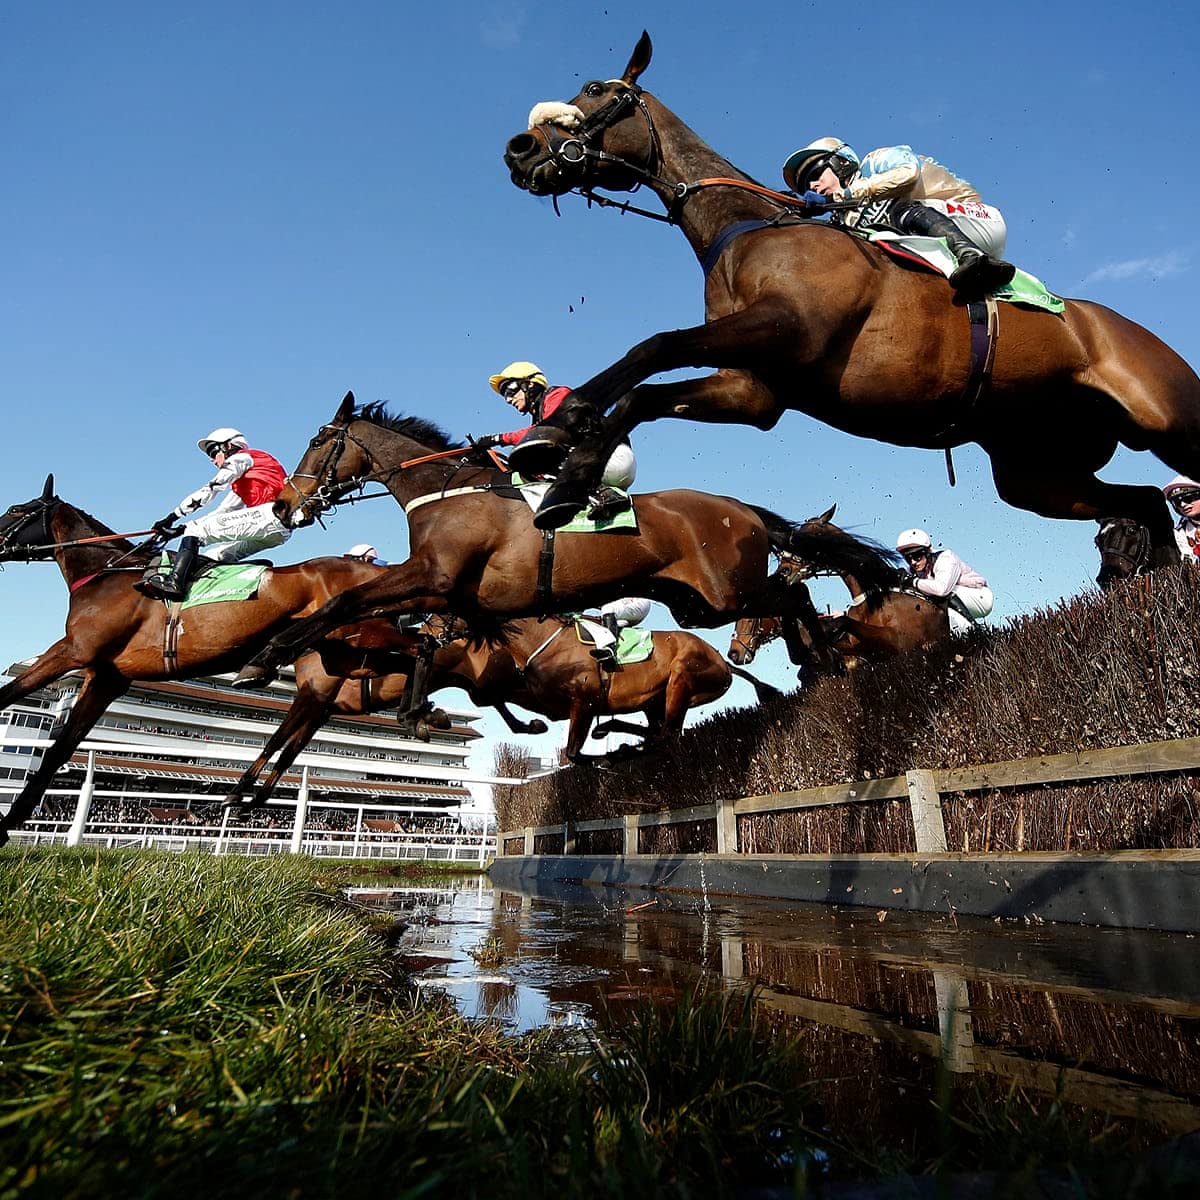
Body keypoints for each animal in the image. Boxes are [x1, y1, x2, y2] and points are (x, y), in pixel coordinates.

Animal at [0, 477, 425, 843]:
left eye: (16, 509)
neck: (108, 576)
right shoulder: (106, 676)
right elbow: (59, 750)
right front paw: (11, 821)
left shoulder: (73, 650)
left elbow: (10, 693)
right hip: (347, 653)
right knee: (404, 660)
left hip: (363, 635)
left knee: (421, 647)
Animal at [227, 393, 893, 690]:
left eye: (318, 441)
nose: (283, 505)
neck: (445, 491)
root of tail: (740, 509)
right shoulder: (443, 593)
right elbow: (351, 606)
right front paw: (269, 655)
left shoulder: (433, 577)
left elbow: (345, 599)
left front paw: (264, 655)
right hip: (697, 604)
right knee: (788, 596)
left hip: (727, 593)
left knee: (793, 596)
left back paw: (828, 660)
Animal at [228, 613, 779, 803]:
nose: (426, 635)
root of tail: (724, 659)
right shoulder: (318, 700)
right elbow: (284, 744)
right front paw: (247, 794)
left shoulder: (579, 699)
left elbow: (571, 753)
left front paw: (244, 794)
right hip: (661, 697)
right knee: (660, 732)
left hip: (684, 680)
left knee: (666, 736)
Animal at [501, 31, 1200, 569]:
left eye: (596, 90)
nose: (519, 149)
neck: (746, 231)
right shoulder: (755, 389)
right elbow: (645, 396)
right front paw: (567, 475)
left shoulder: (791, 328)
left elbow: (655, 346)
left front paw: (559, 422)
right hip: (1037, 471)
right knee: (1143, 503)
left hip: (1169, 423)